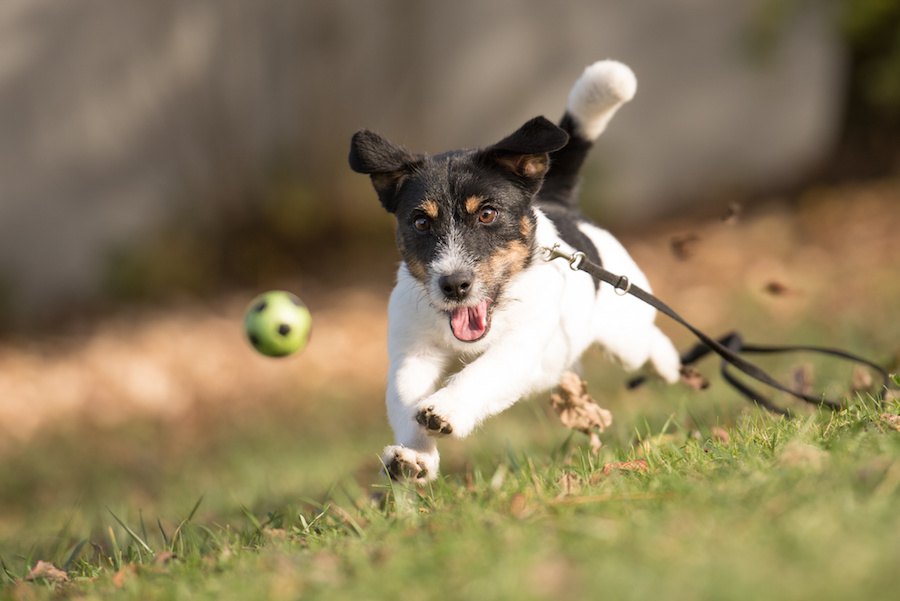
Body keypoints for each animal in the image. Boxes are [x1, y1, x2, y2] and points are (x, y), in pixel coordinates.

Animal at [348, 59, 680, 482]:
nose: (454, 285)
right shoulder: (412, 353)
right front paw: (415, 456)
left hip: (624, 335)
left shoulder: (519, 347)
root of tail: (557, 200)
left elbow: (481, 372)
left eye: (487, 214)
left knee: (646, 338)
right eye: (421, 222)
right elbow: (406, 399)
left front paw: (446, 409)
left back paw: (668, 364)